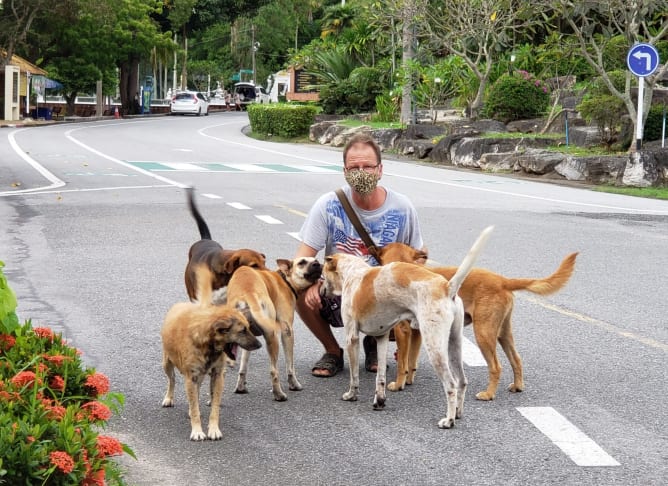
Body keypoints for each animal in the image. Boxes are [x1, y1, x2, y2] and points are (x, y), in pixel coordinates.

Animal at [160, 264, 262, 442]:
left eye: (248, 327)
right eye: (242, 330)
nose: (259, 344)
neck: (208, 345)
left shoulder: (217, 376)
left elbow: (214, 406)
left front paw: (213, 429)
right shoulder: (190, 377)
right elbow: (195, 408)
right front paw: (197, 430)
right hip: (167, 363)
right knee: (172, 380)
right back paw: (169, 398)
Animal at [227, 258, 324, 402]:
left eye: (316, 260)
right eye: (302, 262)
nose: (318, 264)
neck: (285, 280)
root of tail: (247, 293)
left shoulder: (247, 339)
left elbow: (243, 367)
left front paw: (241, 387)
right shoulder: (287, 332)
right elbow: (290, 367)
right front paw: (294, 385)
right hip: (272, 337)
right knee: (274, 371)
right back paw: (279, 394)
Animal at [320, 226, 494, 428]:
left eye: (322, 274)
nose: (321, 292)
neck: (354, 274)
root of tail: (446, 286)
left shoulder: (351, 338)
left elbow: (354, 376)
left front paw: (351, 395)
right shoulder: (382, 337)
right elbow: (380, 376)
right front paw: (379, 400)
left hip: (434, 346)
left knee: (451, 385)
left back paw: (448, 420)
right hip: (454, 344)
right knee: (462, 382)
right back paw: (457, 413)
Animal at [376, 242, 580, 398]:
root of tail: (503, 281)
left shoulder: (403, 331)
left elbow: (403, 363)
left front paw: (399, 384)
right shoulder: (417, 332)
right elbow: (411, 361)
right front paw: (409, 381)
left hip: (483, 334)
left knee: (496, 367)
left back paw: (488, 394)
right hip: (503, 333)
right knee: (516, 359)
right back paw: (517, 386)